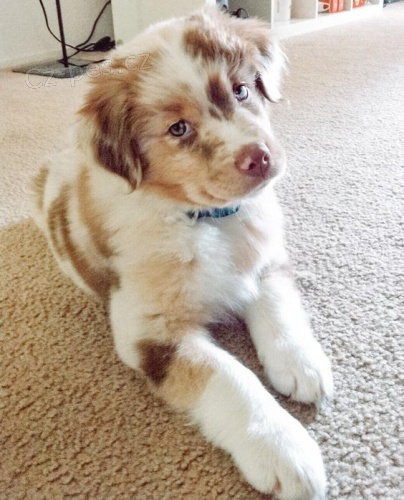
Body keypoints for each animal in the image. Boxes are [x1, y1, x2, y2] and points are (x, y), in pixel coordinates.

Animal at [32, 7, 333, 499]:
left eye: (242, 90)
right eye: (178, 129)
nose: (260, 157)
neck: (208, 220)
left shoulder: (265, 260)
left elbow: (280, 308)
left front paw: (301, 363)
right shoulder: (150, 330)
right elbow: (229, 378)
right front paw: (285, 450)